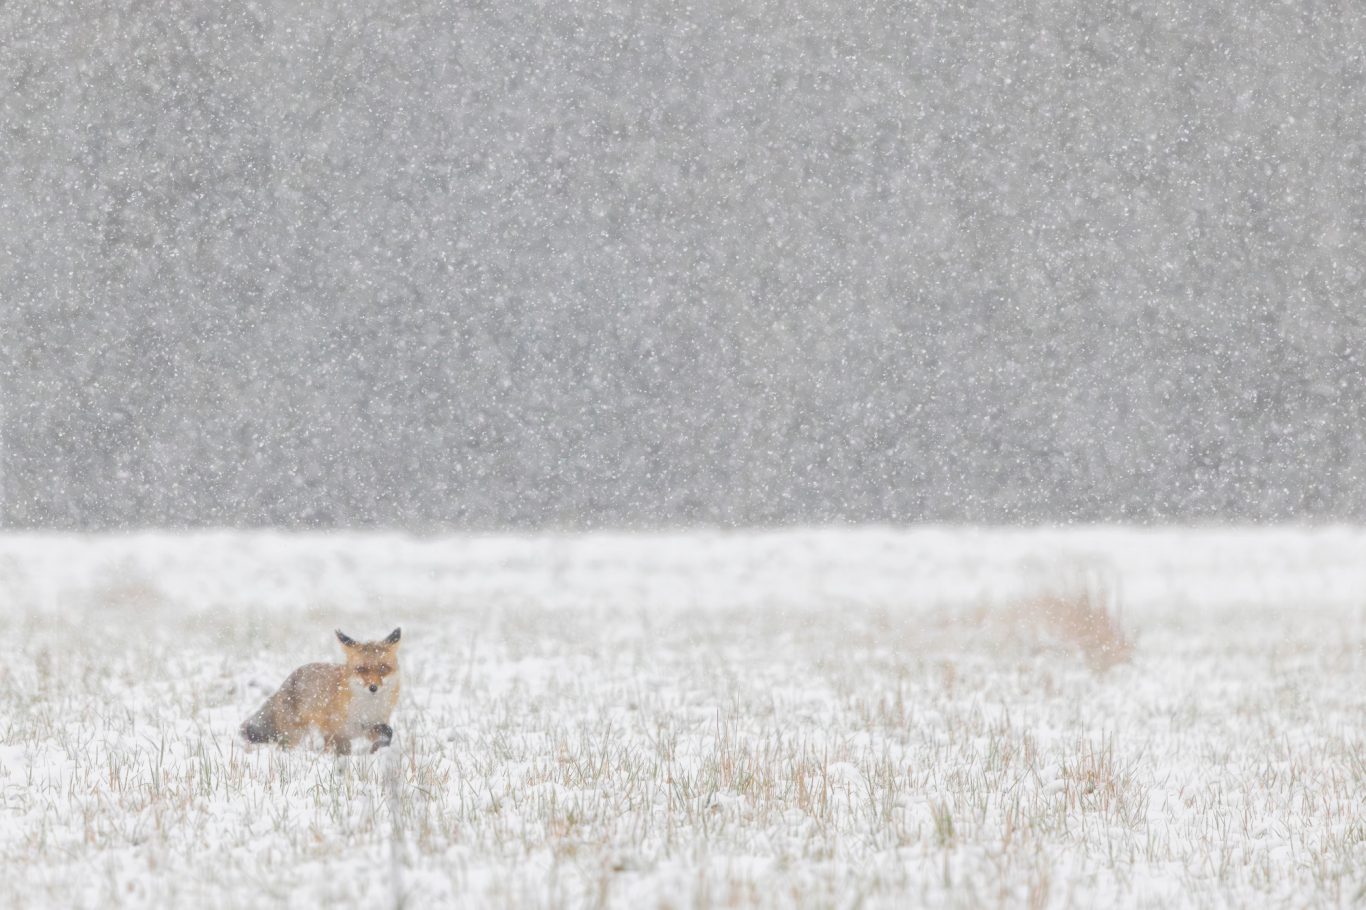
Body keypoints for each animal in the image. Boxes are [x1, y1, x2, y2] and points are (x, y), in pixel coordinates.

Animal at [241, 623, 401, 748]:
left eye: (383, 669)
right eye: (361, 669)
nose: (373, 687)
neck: (367, 709)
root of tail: (287, 681)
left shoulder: (370, 727)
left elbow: (388, 732)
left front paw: (380, 748)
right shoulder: (333, 731)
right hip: (294, 735)